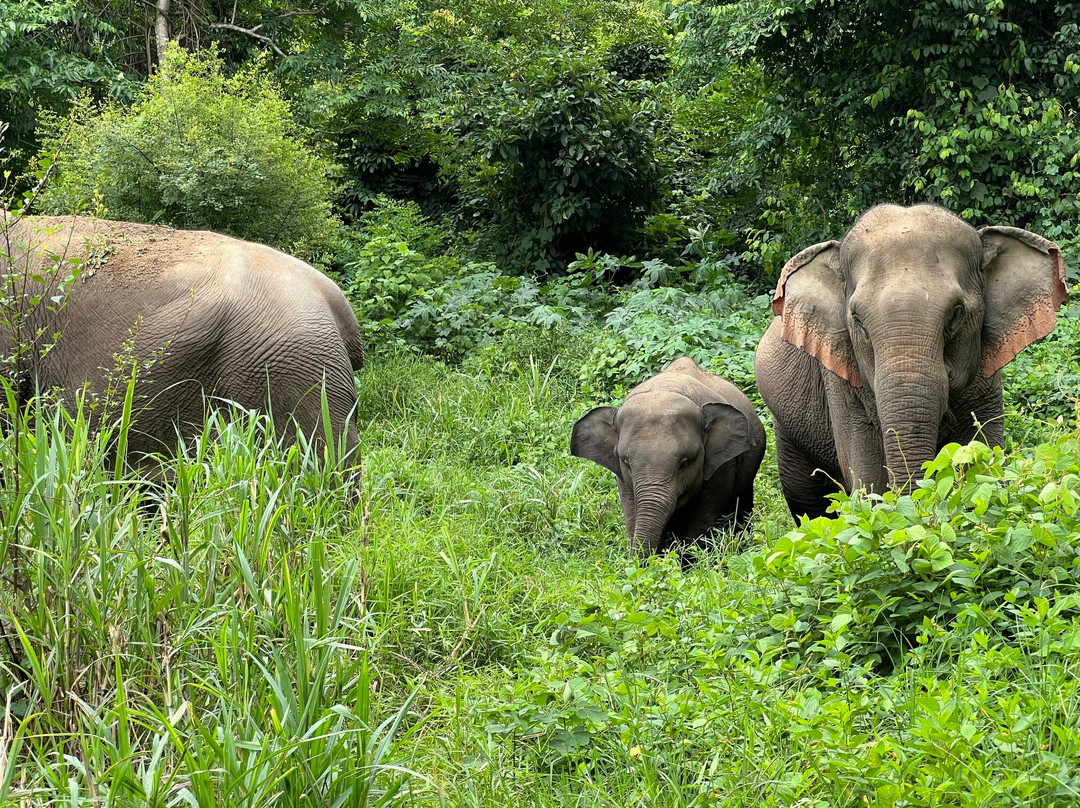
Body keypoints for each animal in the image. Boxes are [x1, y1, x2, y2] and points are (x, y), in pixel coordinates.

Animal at [571, 357, 766, 557]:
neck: (666, 387)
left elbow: (701, 519)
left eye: (684, 462)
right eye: (625, 462)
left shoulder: (721, 467)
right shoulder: (623, 479)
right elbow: (631, 513)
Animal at [755, 203, 1067, 519]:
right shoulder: (840, 381)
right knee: (809, 501)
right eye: (857, 319)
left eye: (956, 313)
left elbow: (981, 454)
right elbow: (868, 476)